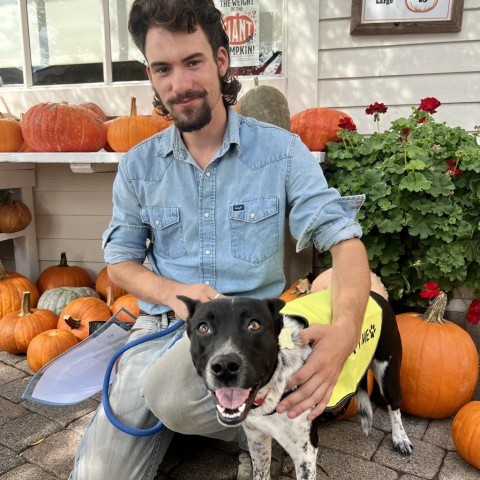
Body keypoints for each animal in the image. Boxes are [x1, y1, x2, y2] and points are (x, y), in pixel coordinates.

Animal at [180, 292, 412, 480]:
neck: (269, 394)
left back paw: (400, 438)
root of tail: (375, 294)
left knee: (394, 405)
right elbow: (261, 473)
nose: (225, 367)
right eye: (203, 327)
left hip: (388, 374)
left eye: (254, 325)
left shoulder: (305, 454)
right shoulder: (257, 440)